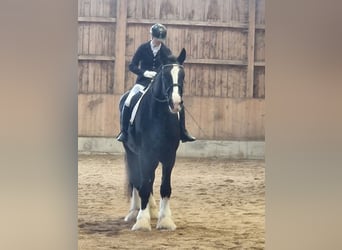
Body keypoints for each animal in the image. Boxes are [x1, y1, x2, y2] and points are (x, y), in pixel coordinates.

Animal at [118, 48, 187, 230]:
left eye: (182, 76)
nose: (175, 103)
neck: (160, 117)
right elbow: (143, 184)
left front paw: (165, 220)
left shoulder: (169, 156)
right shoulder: (144, 154)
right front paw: (142, 220)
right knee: (137, 180)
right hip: (132, 153)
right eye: (164, 76)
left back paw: (153, 210)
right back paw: (134, 212)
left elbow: (165, 187)